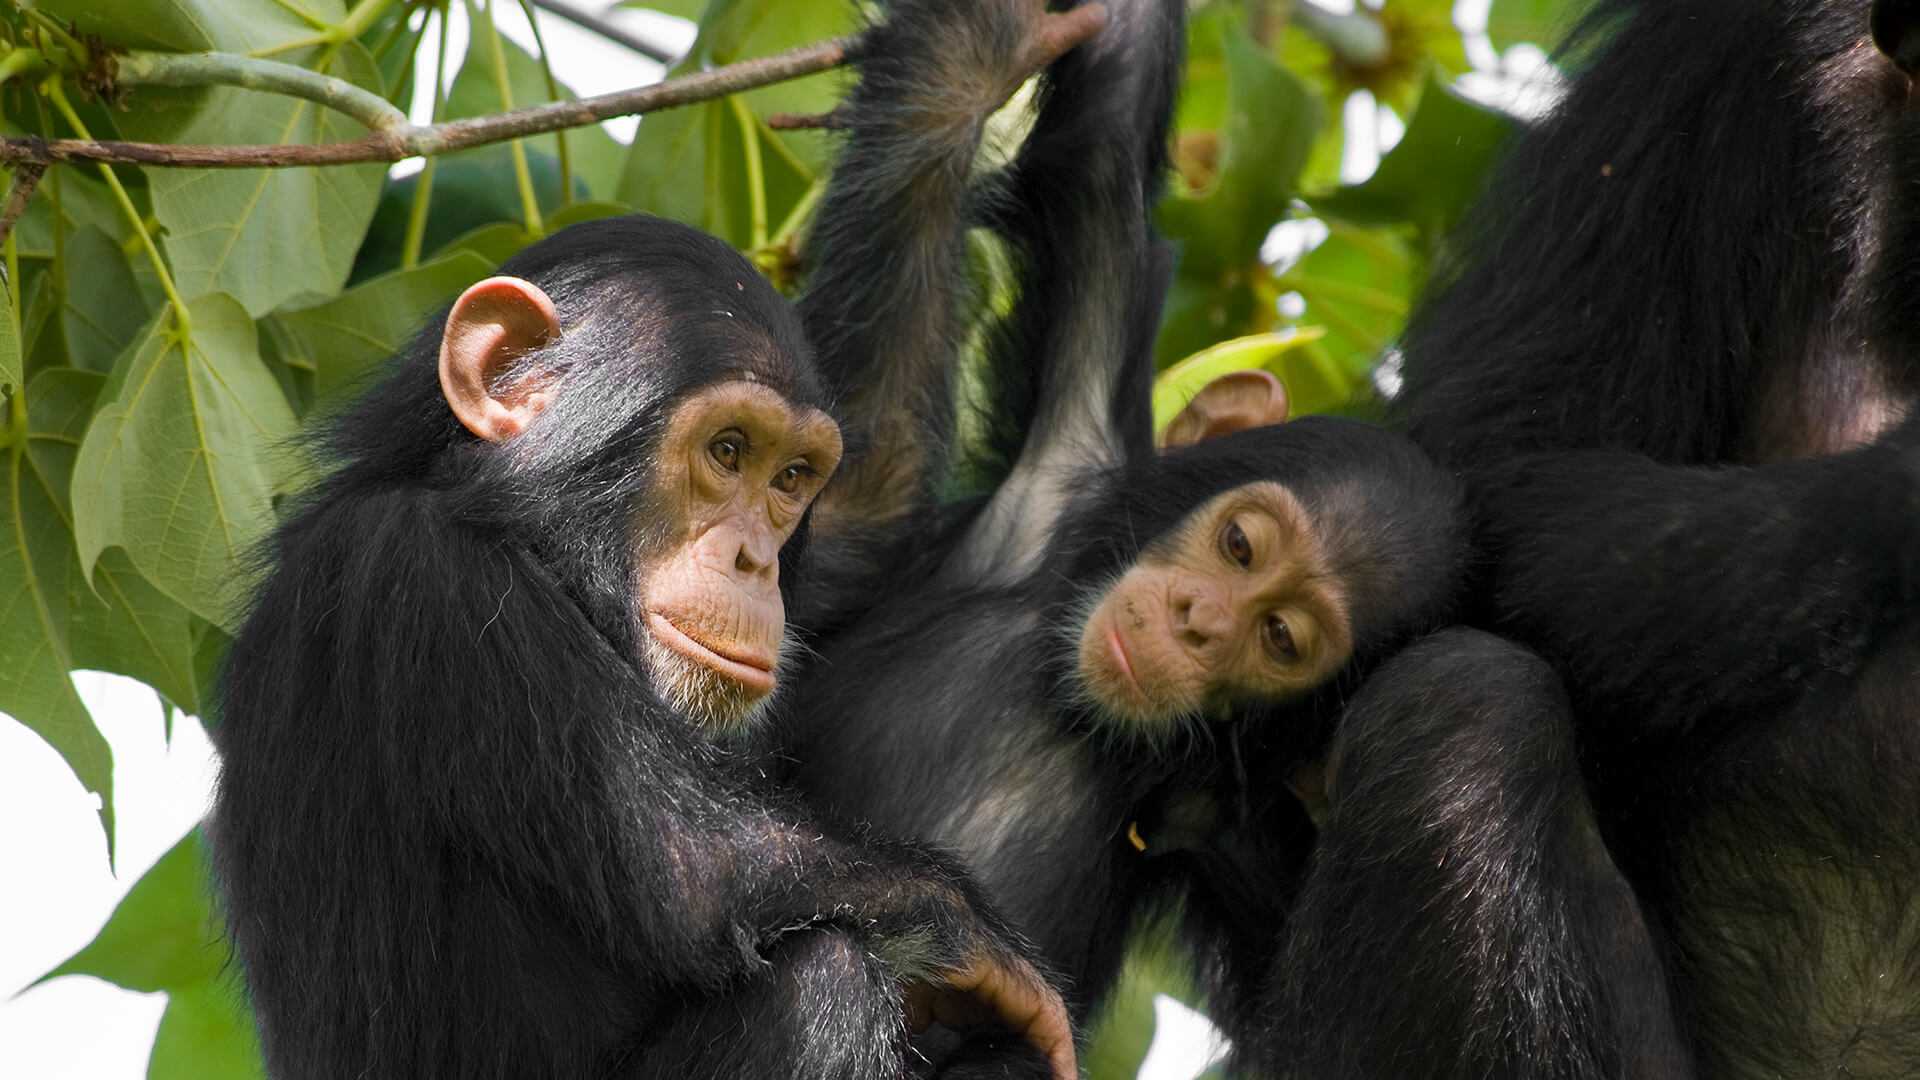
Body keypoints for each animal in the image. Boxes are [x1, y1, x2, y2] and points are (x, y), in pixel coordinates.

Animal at [210, 212, 1090, 1076]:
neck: (519, 535)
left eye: (792, 477)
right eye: (728, 449)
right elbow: (692, 872)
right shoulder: (431, 581)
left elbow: (878, 499)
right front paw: (980, 942)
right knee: (823, 979)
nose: (756, 561)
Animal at [779, 0, 1466, 1037]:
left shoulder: (1240, 829)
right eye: (1239, 545)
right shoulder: (1070, 443)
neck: (1076, 711)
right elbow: (1105, 137)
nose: (1199, 621)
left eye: (1279, 636)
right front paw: (986, 53)